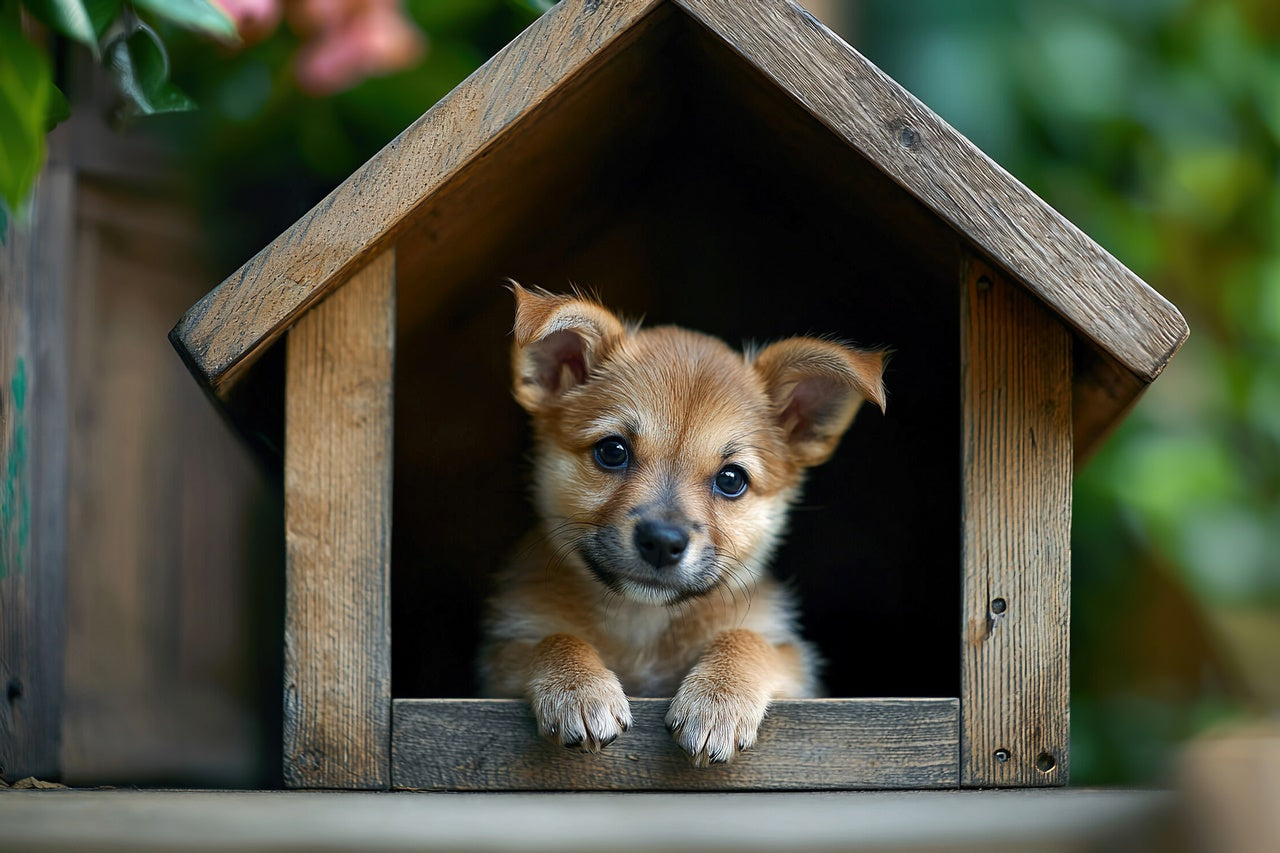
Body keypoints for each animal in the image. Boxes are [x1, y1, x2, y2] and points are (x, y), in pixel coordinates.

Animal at [476, 285, 885, 763]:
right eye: (612, 451)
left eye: (731, 480)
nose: (661, 542)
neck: (643, 622)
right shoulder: (499, 661)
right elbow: (550, 640)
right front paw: (578, 688)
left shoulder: (797, 667)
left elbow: (749, 640)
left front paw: (717, 701)